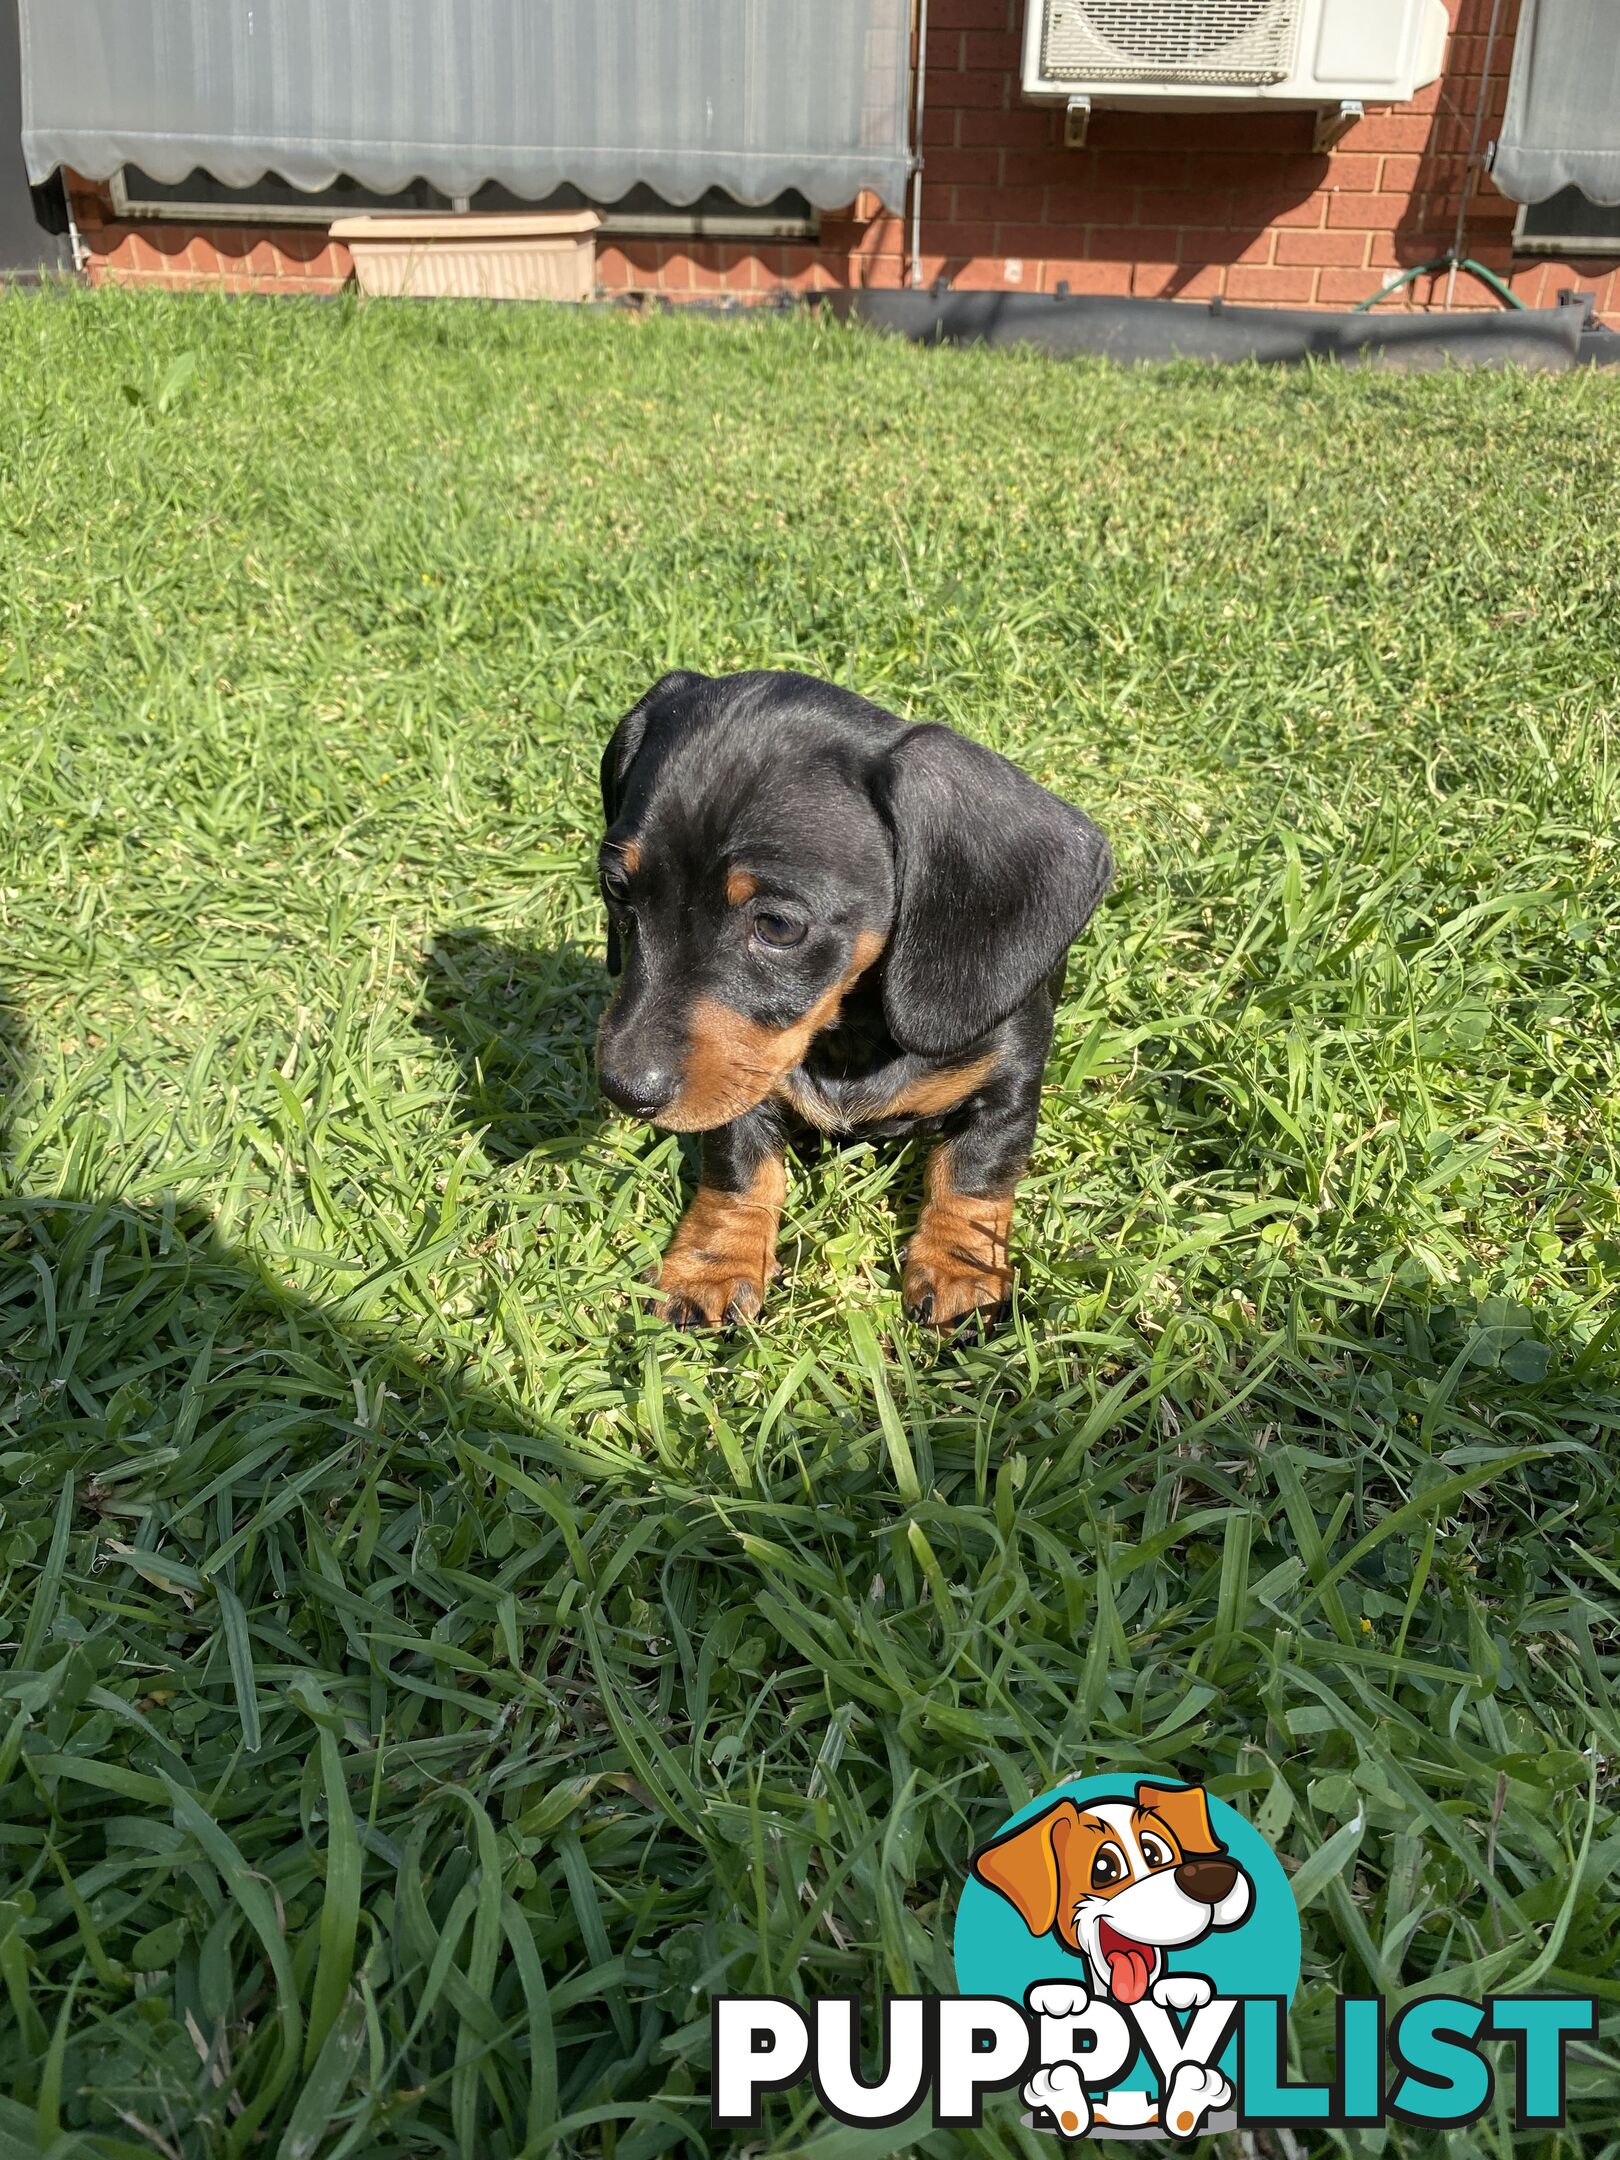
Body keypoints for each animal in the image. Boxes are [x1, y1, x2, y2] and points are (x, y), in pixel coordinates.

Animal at [596, 665, 1114, 1321]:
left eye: (778, 926)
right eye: (617, 888)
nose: (622, 1090)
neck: (849, 1034)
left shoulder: (1008, 1083)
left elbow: (973, 1173)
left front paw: (960, 1268)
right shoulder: (746, 1080)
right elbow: (741, 1169)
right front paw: (714, 1264)